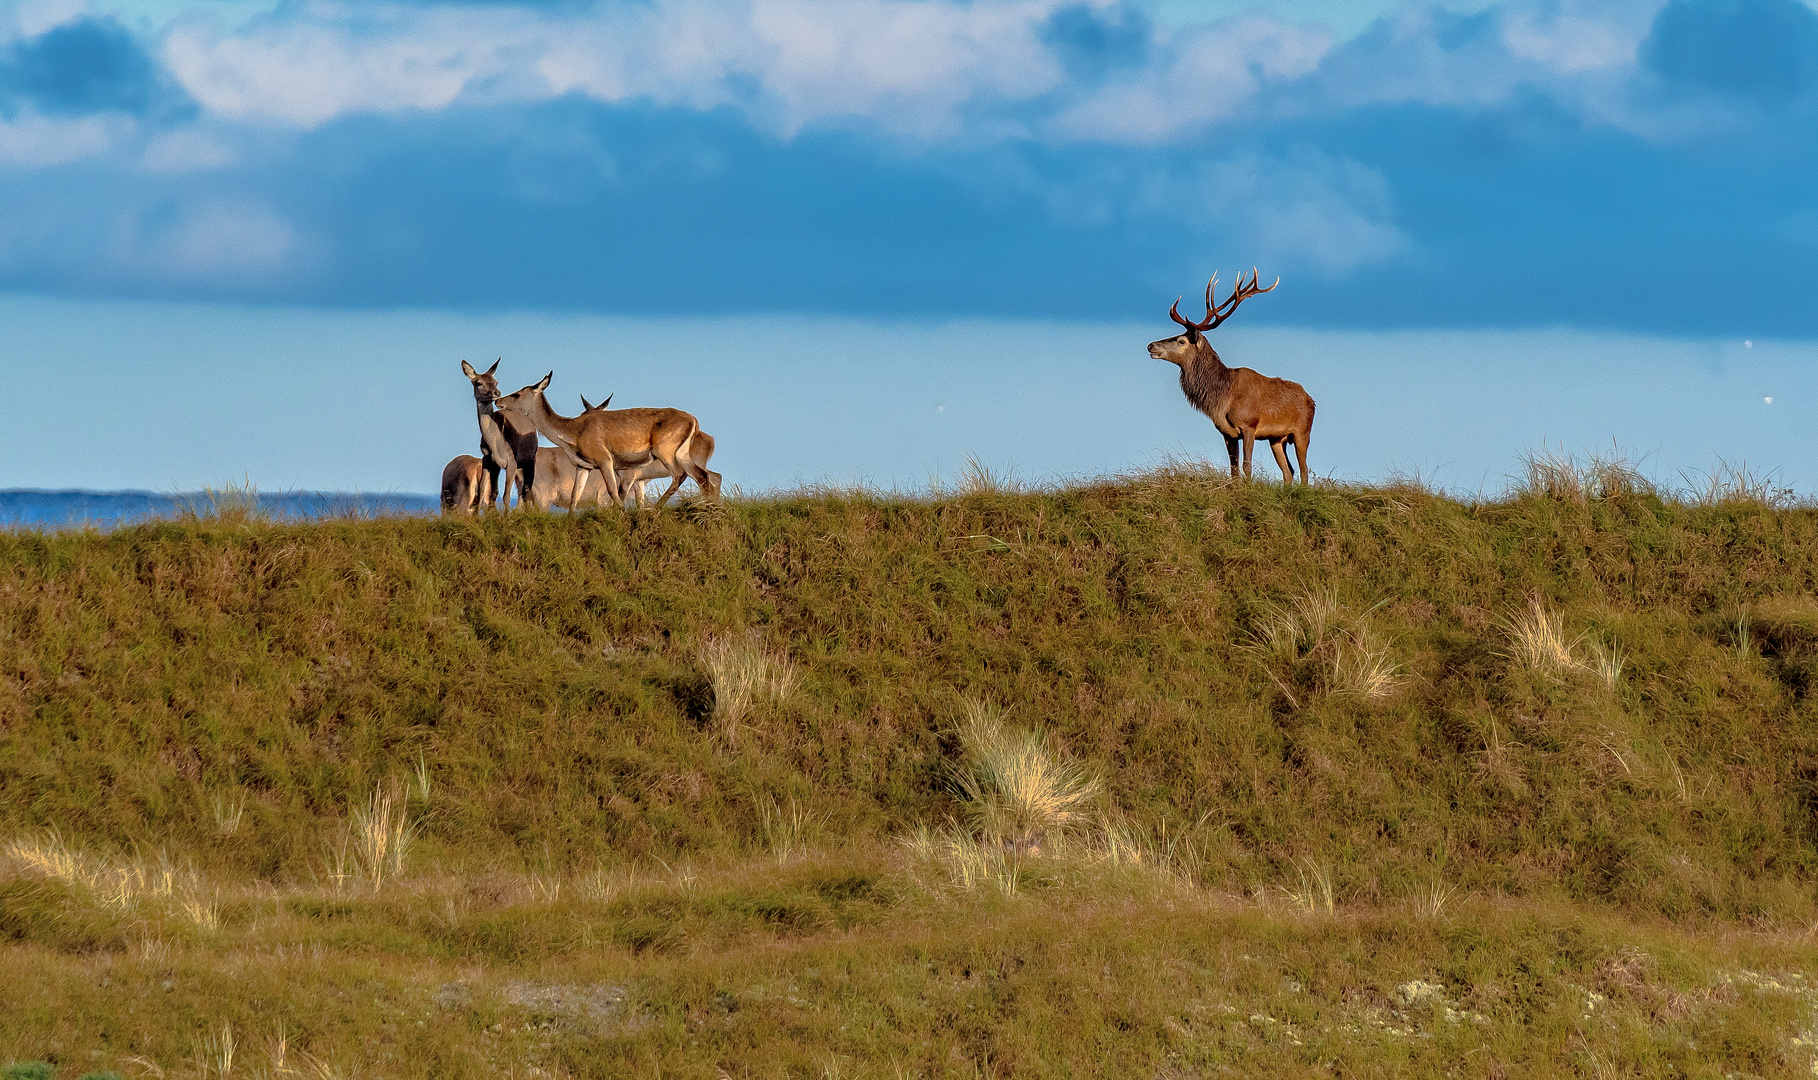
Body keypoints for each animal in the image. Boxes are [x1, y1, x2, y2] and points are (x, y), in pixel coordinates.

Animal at [458, 360, 534, 505]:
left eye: (496, 381)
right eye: (479, 382)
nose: (497, 392)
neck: (498, 446)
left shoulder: (512, 462)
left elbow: (507, 496)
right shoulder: (487, 458)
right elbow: (482, 490)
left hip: (530, 459)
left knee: (527, 490)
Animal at [498, 374, 723, 509]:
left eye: (517, 394)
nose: (498, 400)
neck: (573, 430)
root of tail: (693, 420)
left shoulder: (606, 461)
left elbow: (613, 492)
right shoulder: (583, 467)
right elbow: (574, 497)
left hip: (666, 453)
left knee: (682, 475)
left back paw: (657, 509)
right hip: (682, 455)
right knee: (704, 477)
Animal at [1141, 269, 1316, 483]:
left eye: (1182, 341)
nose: (1151, 345)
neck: (1223, 398)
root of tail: (1311, 400)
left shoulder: (1249, 425)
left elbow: (1247, 466)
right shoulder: (1227, 433)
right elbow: (1233, 470)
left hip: (1303, 431)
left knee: (1304, 469)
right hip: (1276, 439)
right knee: (1288, 471)